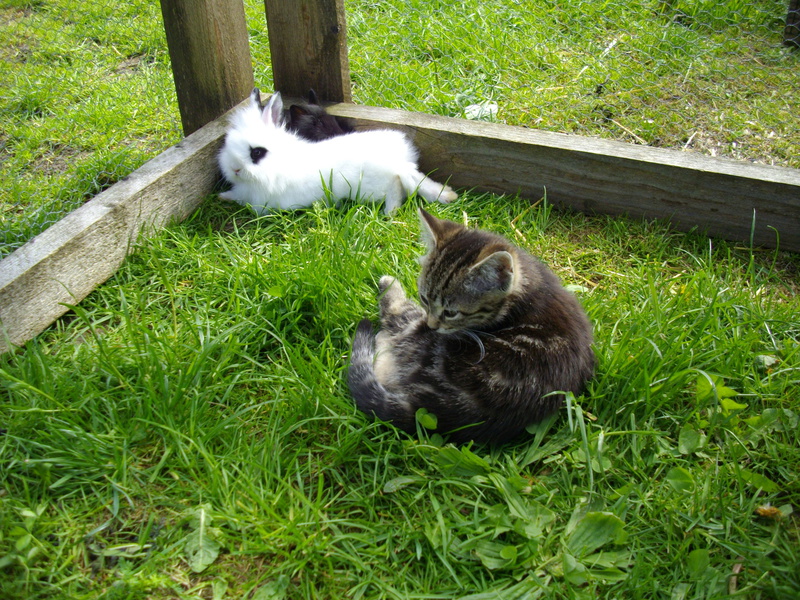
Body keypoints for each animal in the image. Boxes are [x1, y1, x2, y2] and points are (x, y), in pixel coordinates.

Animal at [217, 88, 458, 215]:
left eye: (257, 153)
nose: (234, 169)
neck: (278, 163)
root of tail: (399, 163)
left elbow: (239, 198)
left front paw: (223, 196)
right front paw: (223, 195)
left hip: (375, 186)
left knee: (395, 187)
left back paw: (390, 212)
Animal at [348, 208, 595, 445]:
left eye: (451, 312)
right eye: (425, 298)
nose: (432, 325)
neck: (527, 287)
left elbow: (399, 310)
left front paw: (388, 284)